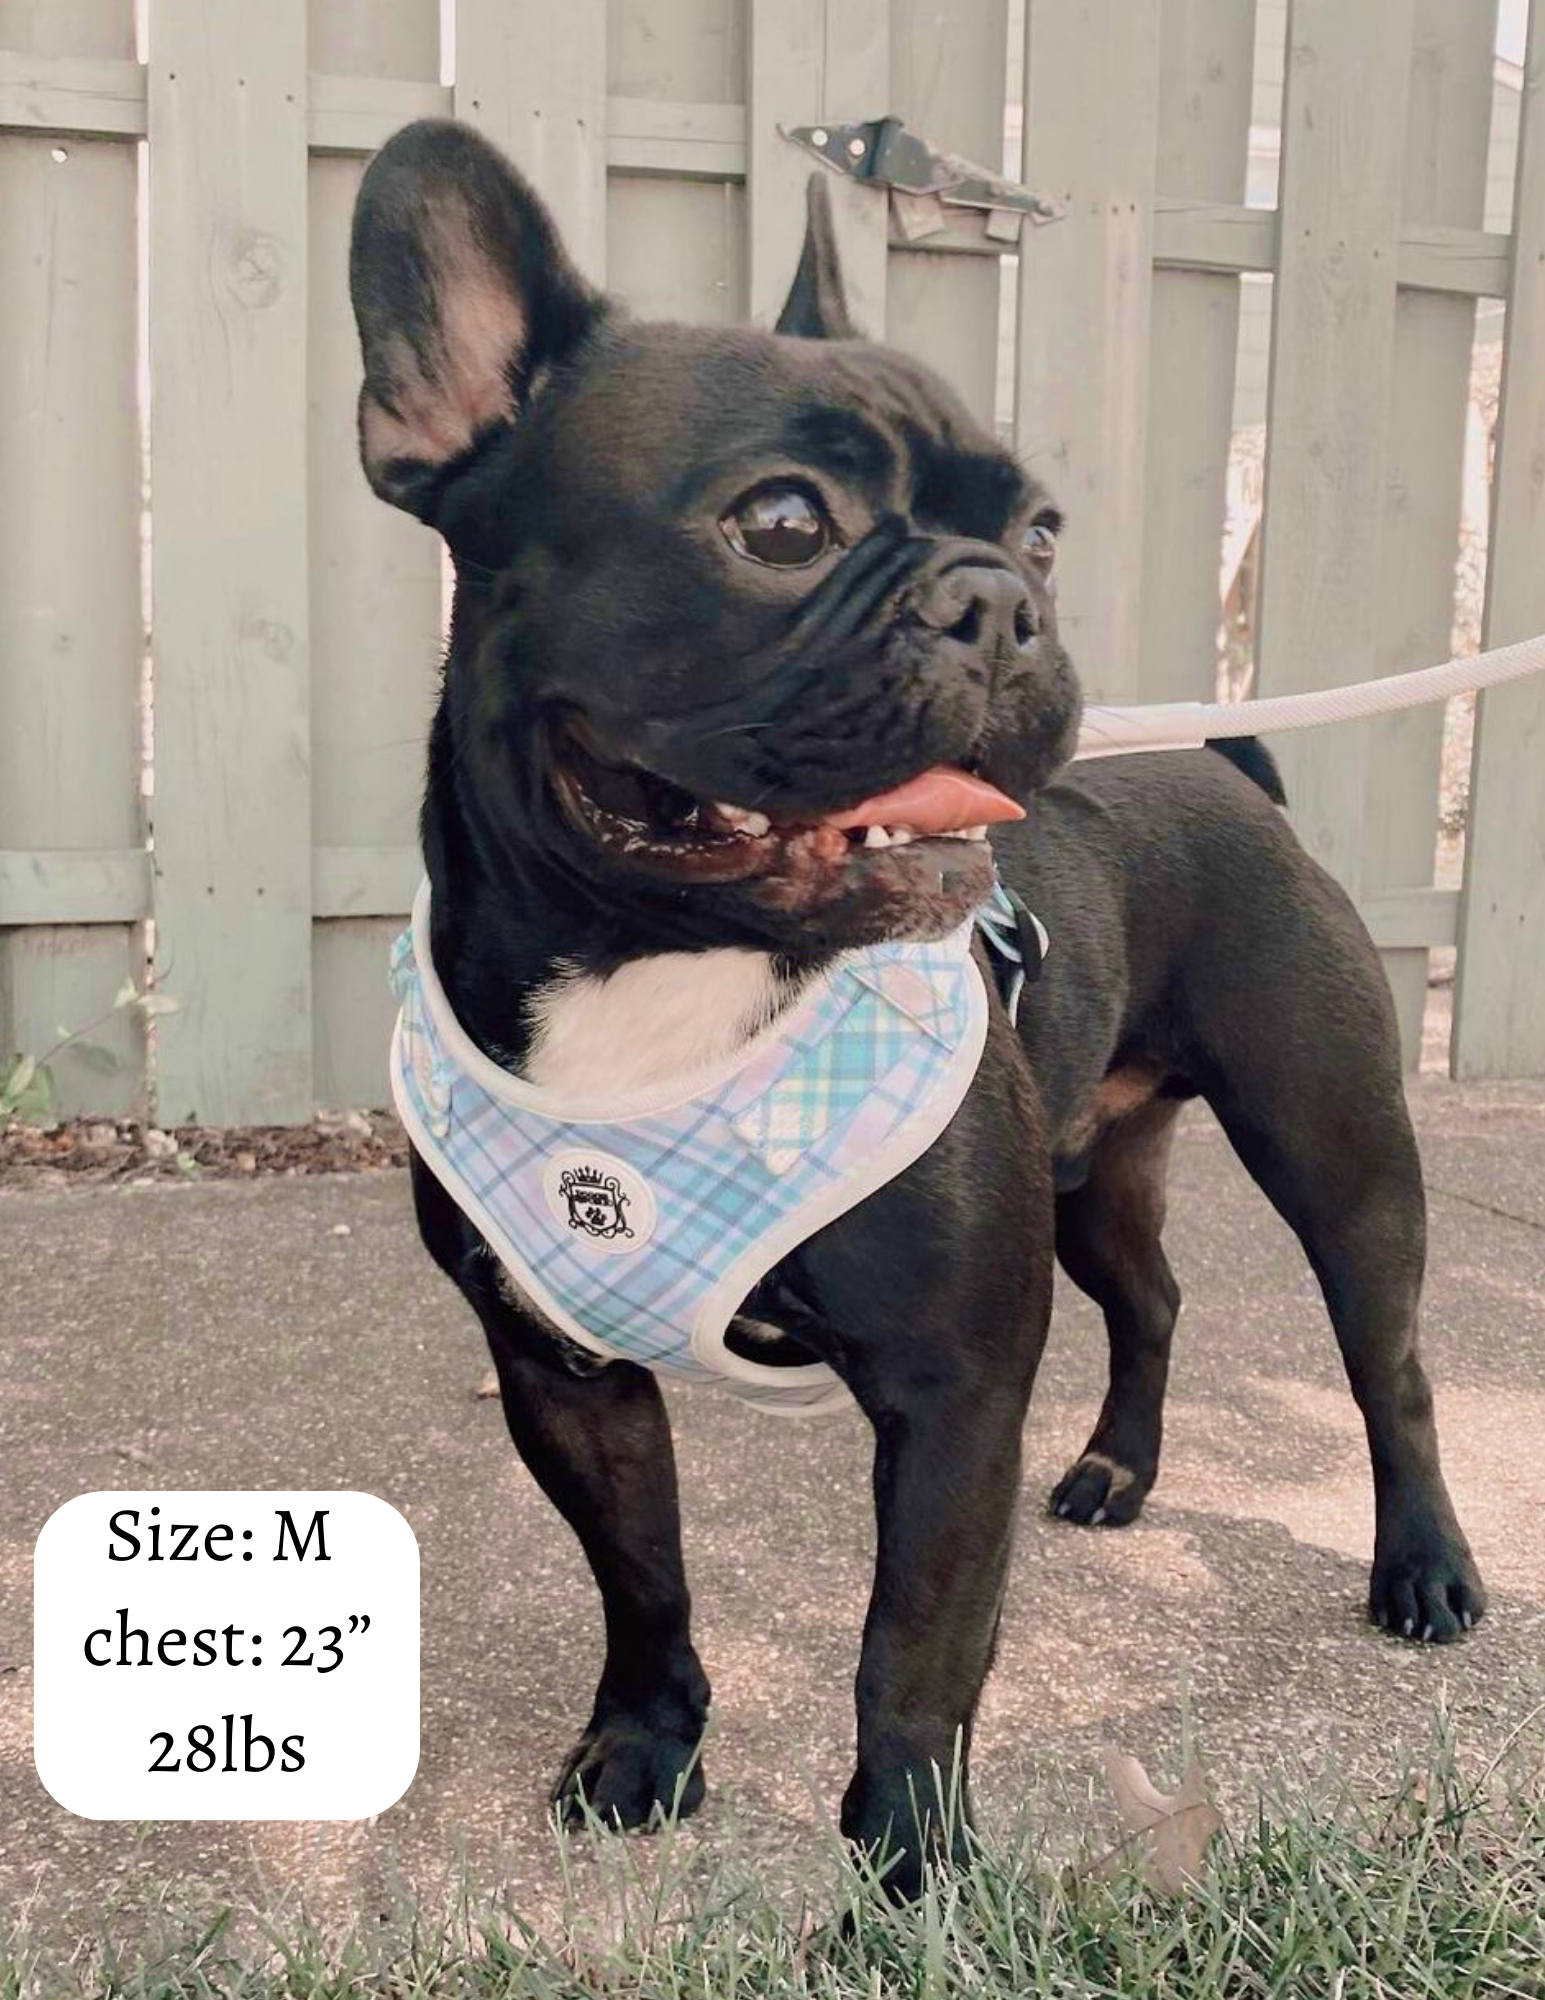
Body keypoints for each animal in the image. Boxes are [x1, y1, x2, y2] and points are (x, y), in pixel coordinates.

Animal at [349, 119, 1485, 1895]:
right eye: (782, 522)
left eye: (1043, 530)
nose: (998, 598)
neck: (657, 977)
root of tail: (1235, 777)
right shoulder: (563, 1375)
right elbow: (642, 1577)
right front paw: (645, 1748)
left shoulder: (954, 1391)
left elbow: (914, 1651)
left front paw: (905, 1877)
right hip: (1090, 1168)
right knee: (1150, 1301)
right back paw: (1115, 1473)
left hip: (1340, 1154)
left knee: (1393, 1367)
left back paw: (1423, 1568)